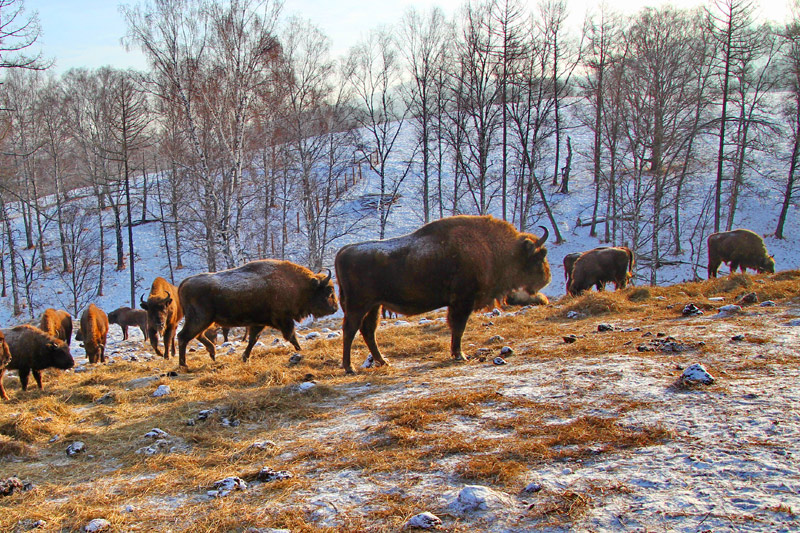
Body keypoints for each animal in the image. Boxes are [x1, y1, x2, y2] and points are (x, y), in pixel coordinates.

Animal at [177, 260, 340, 368]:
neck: (300, 286)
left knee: (197, 335)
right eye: (329, 291)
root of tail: (184, 283)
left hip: (205, 321)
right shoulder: (283, 320)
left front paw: (245, 357)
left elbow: (253, 340)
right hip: (200, 319)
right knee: (183, 336)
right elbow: (291, 336)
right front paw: (301, 350)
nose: (335, 308)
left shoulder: (259, 323)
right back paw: (184, 365)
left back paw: (212, 353)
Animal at [332, 213, 552, 374]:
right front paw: (460, 355)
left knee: (368, 331)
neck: (489, 246)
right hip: (358, 306)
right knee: (350, 331)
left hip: (374, 306)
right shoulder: (463, 302)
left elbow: (456, 328)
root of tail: (343, 251)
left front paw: (457, 354)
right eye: (540, 255)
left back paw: (383, 361)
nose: (547, 278)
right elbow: (458, 328)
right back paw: (350, 368)